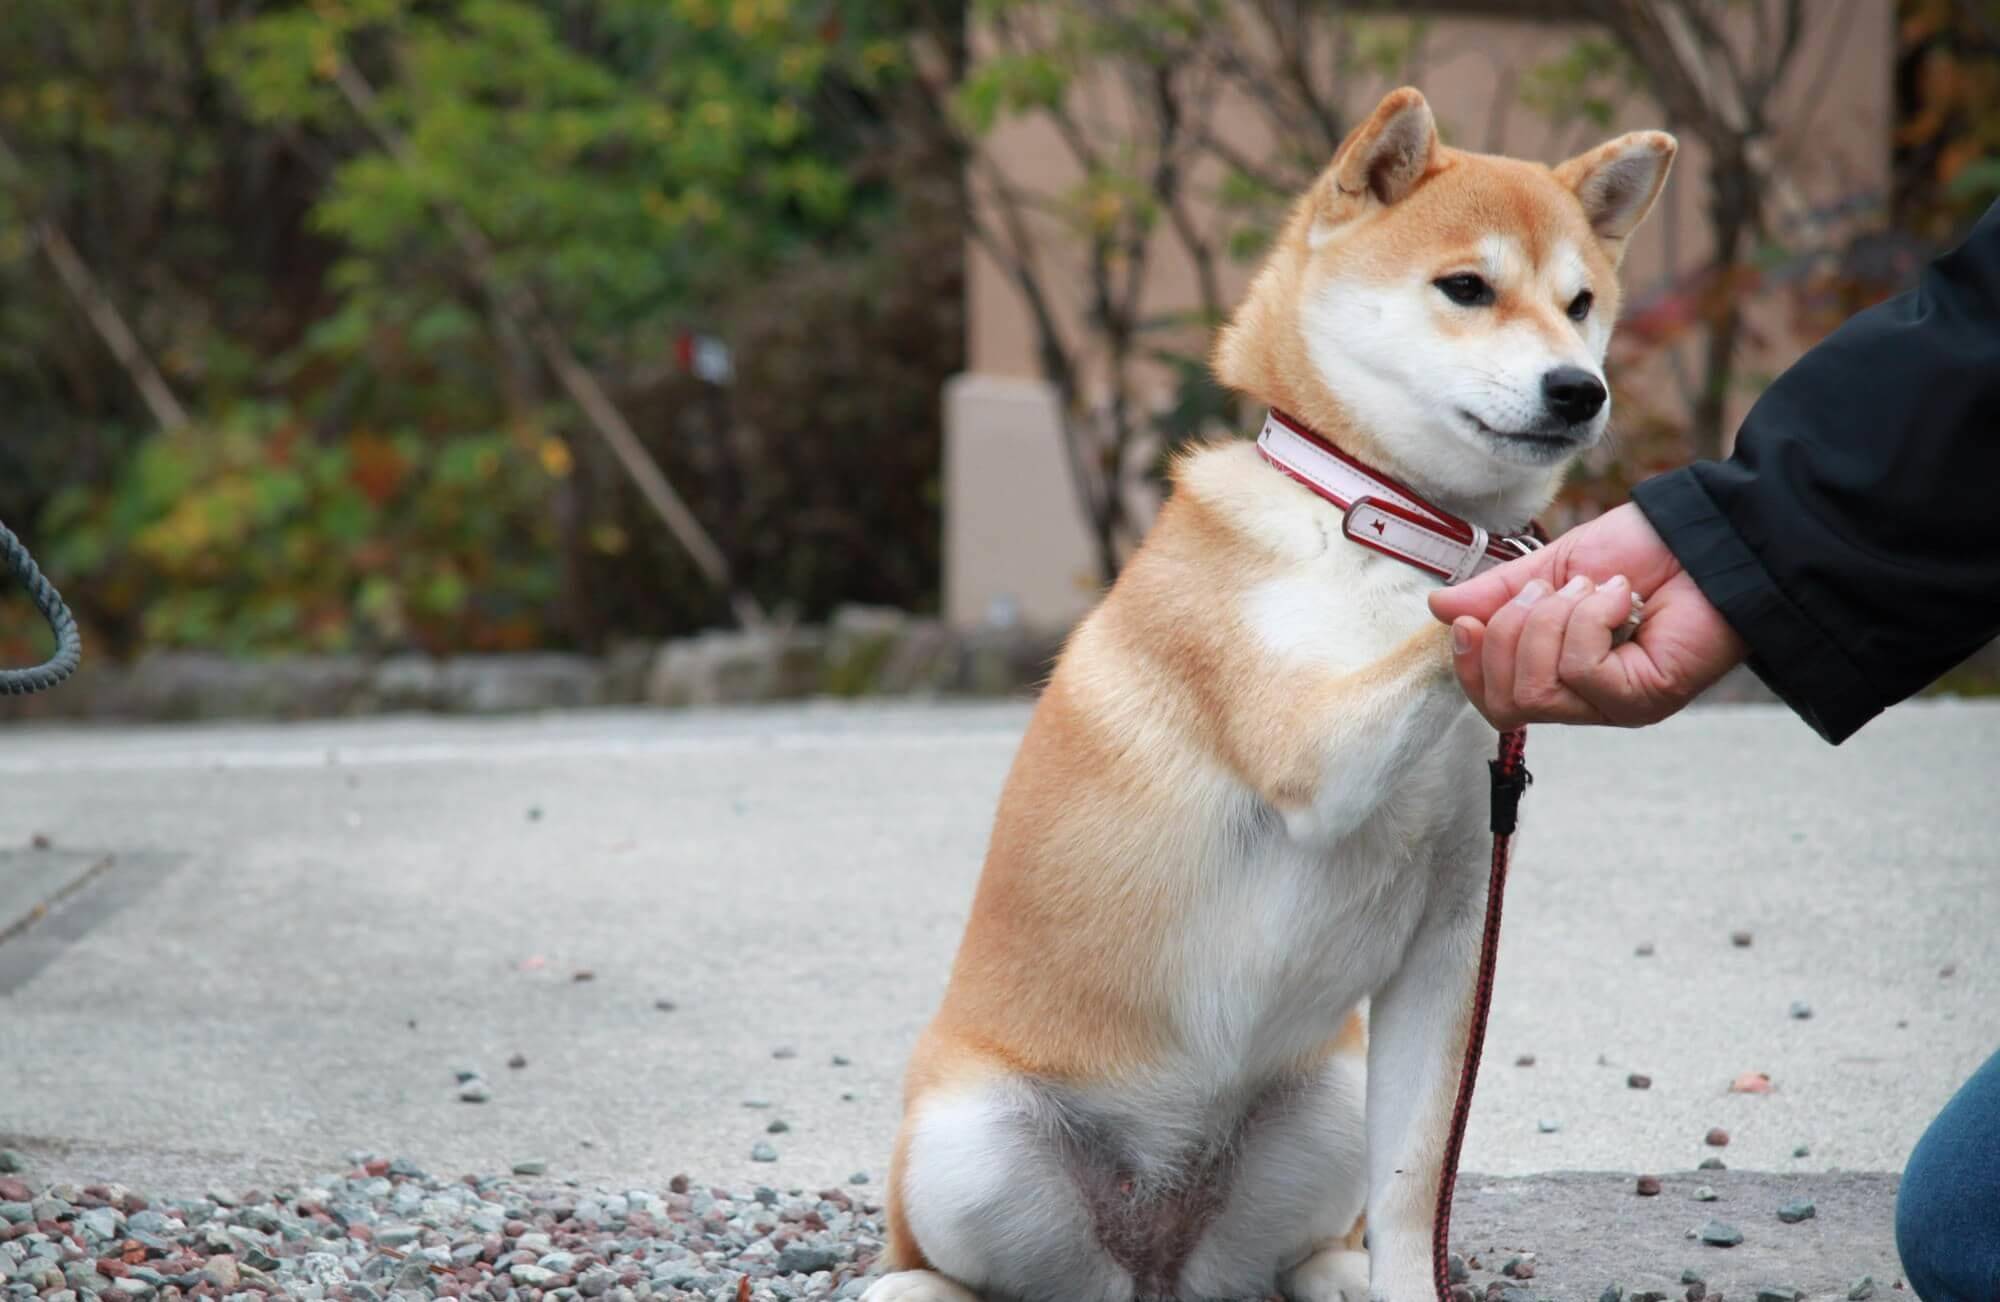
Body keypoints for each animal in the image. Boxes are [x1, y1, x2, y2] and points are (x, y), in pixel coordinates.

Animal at [868, 86, 1664, 1296]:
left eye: (1581, 305)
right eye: (1466, 287)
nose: (1579, 388)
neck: (1386, 533)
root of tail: (1153, 1258)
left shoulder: (1451, 940)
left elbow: (1412, 1191)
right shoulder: (1308, 747)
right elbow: (1451, 619)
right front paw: (1545, 582)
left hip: (1322, 1108)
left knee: (1291, 1250)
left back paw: (1326, 1276)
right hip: (969, 1148)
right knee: (963, 1268)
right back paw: (914, 1283)